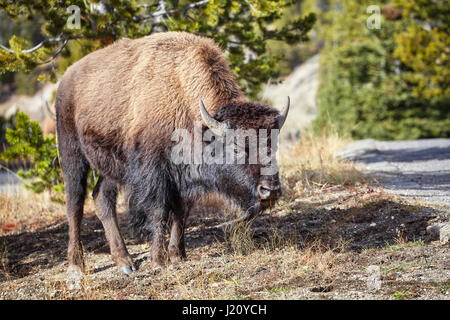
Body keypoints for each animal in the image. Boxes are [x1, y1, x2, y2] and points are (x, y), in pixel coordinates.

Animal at [56, 31, 290, 276]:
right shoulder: (155, 173)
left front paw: (178, 256)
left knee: (102, 198)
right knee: (75, 205)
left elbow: (181, 213)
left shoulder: (184, 179)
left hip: (112, 166)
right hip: (72, 154)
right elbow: (159, 212)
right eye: (235, 147)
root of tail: (66, 80)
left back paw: (125, 263)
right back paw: (76, 266)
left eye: (273, 144)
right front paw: (158, 260)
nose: (270, 190)